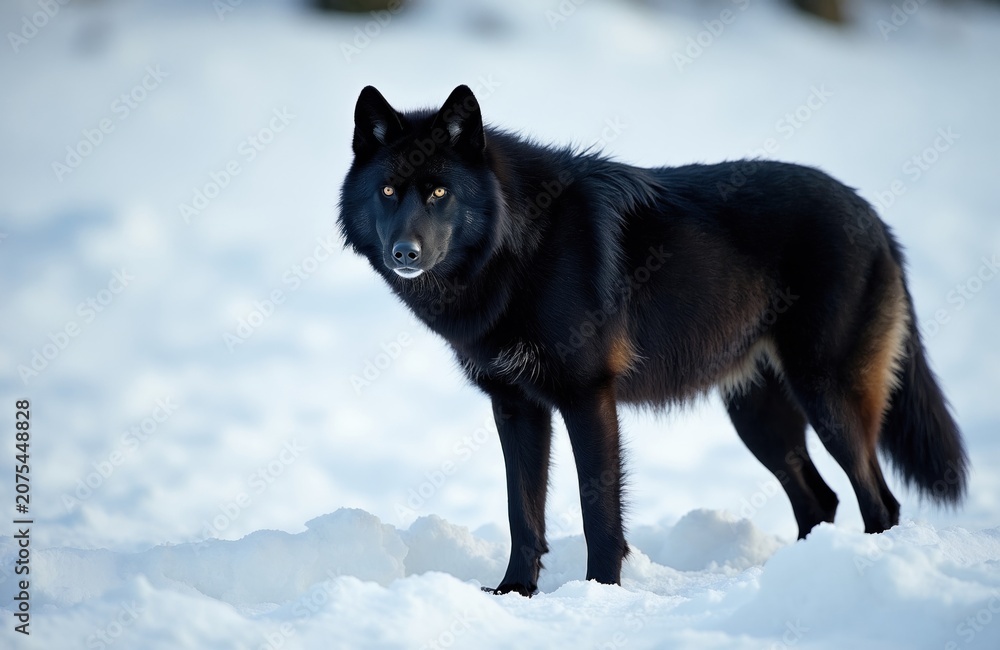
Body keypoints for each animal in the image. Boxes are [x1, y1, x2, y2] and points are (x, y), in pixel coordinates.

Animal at [337, 84, 968, 596]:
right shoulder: (516, 407)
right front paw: (515, 593)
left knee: (879, 500)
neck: (518, 244)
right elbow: (524, 513)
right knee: (822, 500)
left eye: (439, 193)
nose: (405, 253)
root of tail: (872, 213)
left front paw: (598, 594)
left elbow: (597, 511)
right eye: (389, 191)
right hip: (759, 420)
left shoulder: (588, 398)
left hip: (827, 400)